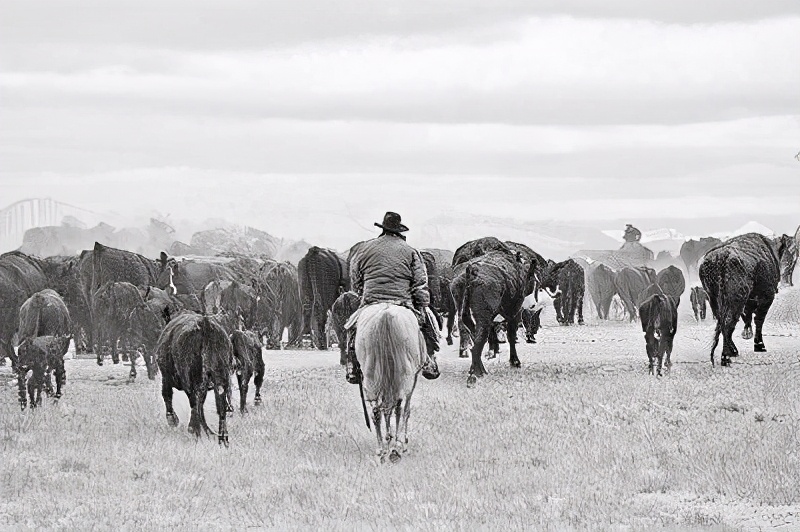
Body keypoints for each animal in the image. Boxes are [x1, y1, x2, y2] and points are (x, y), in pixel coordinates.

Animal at [155, 314, 231, 446]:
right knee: (220, 404)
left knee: (195, 401)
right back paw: (222, 438)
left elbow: (167, 395)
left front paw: (173, 420)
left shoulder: (166, 377)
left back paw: (194, 430)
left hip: (192, 379)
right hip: (220, 376)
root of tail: (205, 324)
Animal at [352, 304, 432, 462]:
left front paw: (389, 440)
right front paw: (400, 442)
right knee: (401, 406)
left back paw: (382, 448)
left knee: (377, 410)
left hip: (371, 374)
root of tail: (386, 316)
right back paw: (396, 447)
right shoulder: (412, 378)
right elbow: (404, 409)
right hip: (405, 376)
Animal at [696, 233, 792, 366]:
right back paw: (726, 357)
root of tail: (721, 256)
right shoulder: (766, 297)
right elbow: (758, 320)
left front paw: (747, 334)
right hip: (735, 300)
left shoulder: (748, 301)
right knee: (728, 323)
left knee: (723, 324)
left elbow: (748, 317)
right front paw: (759, 345)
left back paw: (732, 351)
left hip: (714, 300)